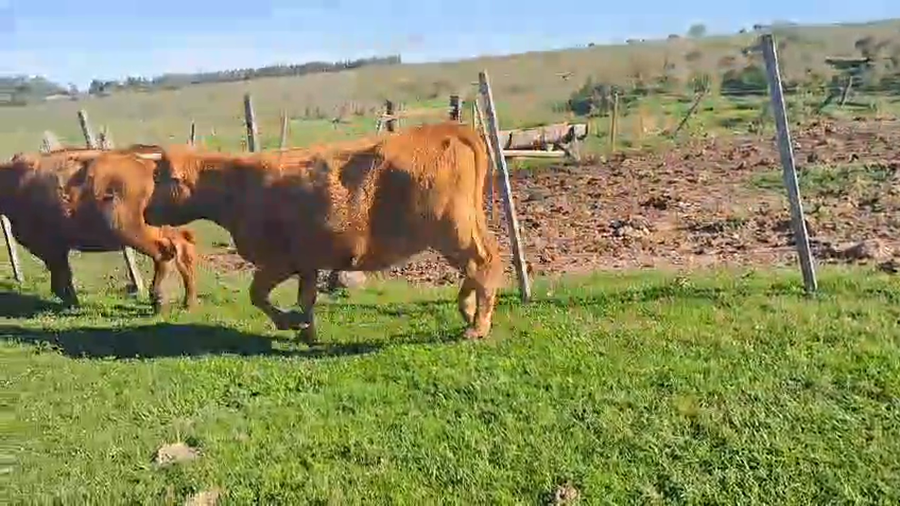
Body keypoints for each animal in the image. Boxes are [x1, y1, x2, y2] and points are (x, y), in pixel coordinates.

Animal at [0, 146, 198, 312]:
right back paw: (188, 302)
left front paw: (70, 301)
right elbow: (63, 274)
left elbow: (60, 275)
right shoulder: (58, 247)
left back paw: (159, 300)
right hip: (166, 230)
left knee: (163, 253)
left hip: (134, 232)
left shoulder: (49, 246)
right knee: (183, 252)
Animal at [133, 121, 503, 342]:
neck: (239, 187)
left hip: (452, 230)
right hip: (464, 228)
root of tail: (446, 127)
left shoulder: (279, 261)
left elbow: (257, 294)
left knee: (484, 264)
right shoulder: (307, 262)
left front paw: (291, 324)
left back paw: (478, 325)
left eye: (160, 179)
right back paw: (468, 310)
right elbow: (305, 298)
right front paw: (307, 332)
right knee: (482, 263)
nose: (145, 211)